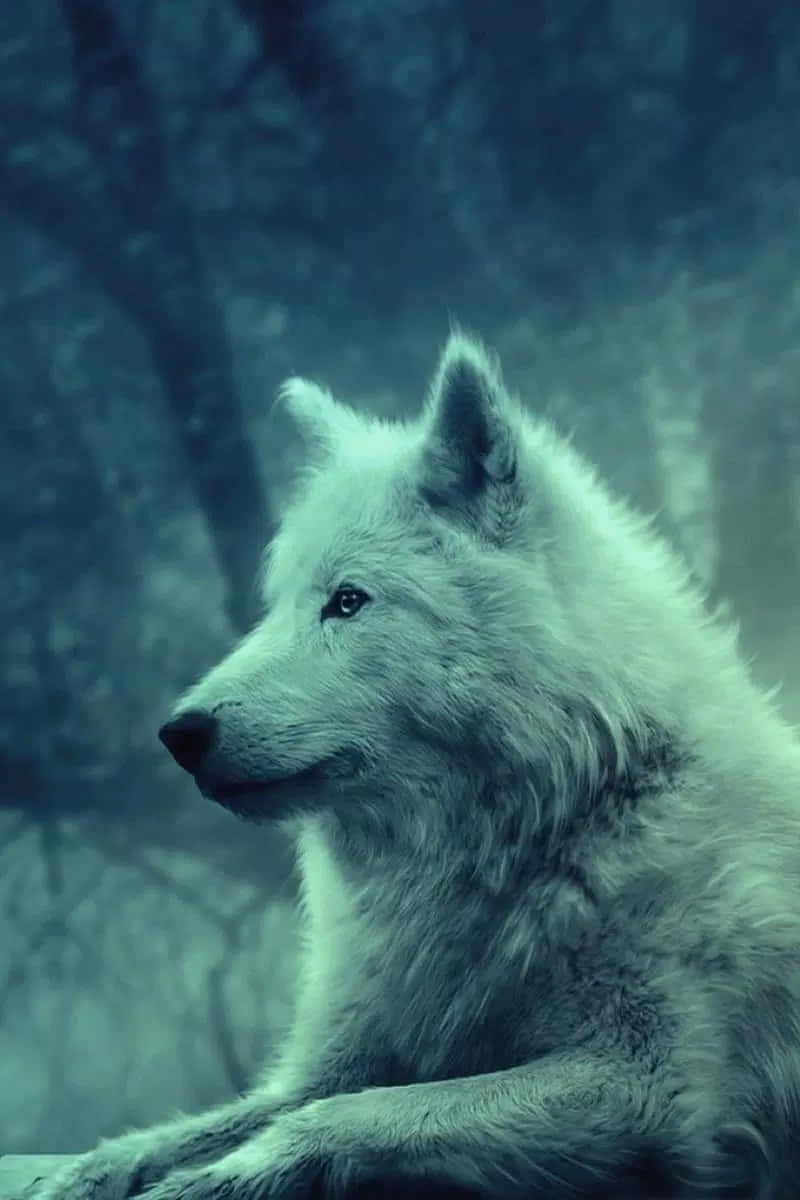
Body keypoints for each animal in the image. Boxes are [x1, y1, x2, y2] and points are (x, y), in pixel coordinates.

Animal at [38, 332, 800, 1199]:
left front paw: (210, 1183)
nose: (178, 733)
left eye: (347, 601)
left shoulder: (654, 1087)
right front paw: (88, 1174)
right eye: (277, 605)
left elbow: (345, 1117)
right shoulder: (340, 1057)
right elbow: (203, 1125)